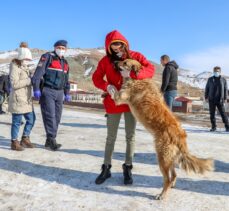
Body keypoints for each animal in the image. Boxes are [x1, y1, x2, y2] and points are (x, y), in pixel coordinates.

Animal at [113, 59, 214, 199]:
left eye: (125, 62)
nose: (115, 61)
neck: (137, 78)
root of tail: (180, 137)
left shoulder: (120, 98)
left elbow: (113, 90)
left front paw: (108, 88)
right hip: (169, 159)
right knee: (174, 176)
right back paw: (171, 187)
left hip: (162, 159)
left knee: (167, 179)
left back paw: (162, 195)